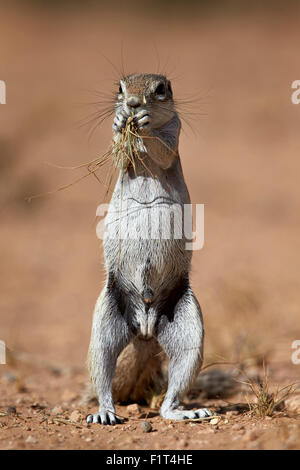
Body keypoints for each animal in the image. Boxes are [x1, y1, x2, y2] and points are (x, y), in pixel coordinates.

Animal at [86, 73, 211, 426]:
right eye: (120, 88)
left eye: (161, 89)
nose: (132, 104)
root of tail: (144, 329)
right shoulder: (123, 156)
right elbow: (119, 150)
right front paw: (120, 123)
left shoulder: (174, 132)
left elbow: (163, 149)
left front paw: (141, 123)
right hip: (105, 322)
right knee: (103, 368)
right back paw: (105, 412)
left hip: (188, 327)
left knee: (177, 382)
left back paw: (184, 411)